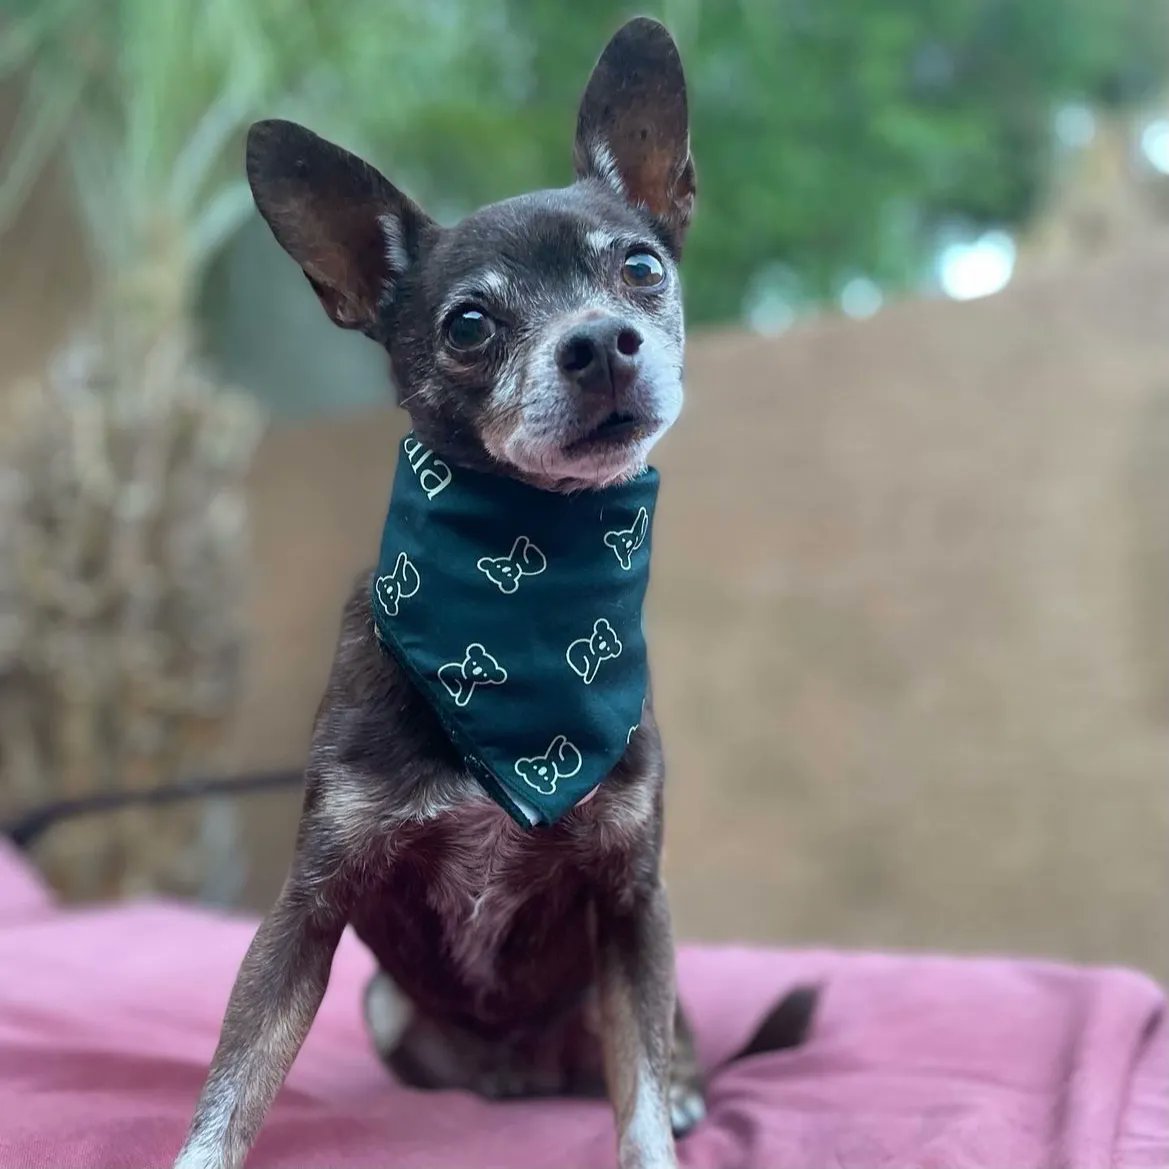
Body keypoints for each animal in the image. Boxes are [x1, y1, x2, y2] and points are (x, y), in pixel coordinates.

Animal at [173, 18, 813, 1169]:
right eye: (468, 324)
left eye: (641, 268)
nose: (601, 341)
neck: (533, 583)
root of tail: (522, 1066)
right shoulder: (306, 909)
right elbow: (235, 1081)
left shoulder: (633, 903)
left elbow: (638, 1098)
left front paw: (662, 1121)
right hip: (386, 1002)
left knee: (666, 1047)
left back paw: (689, 1087)